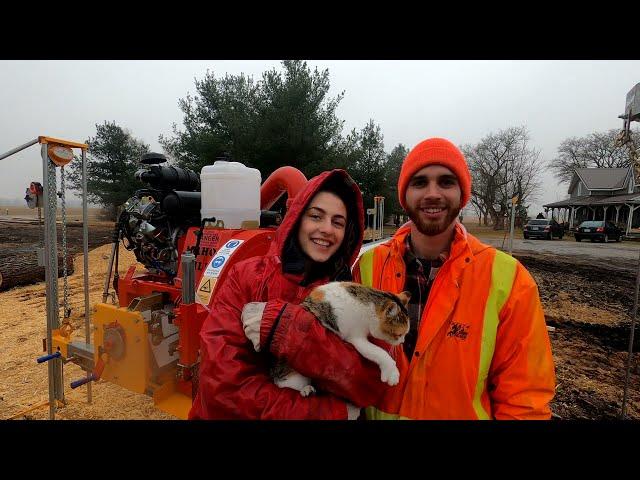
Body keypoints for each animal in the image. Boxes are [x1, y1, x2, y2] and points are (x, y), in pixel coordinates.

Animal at [240, 282, 410, 398]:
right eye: (399, 334)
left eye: (404, 335)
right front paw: (392, 373)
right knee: (283, 385)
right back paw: (305, 390)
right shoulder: (356, 337)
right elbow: (379, 352)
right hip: (295, 375)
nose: (402, 342)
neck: (366, 304)